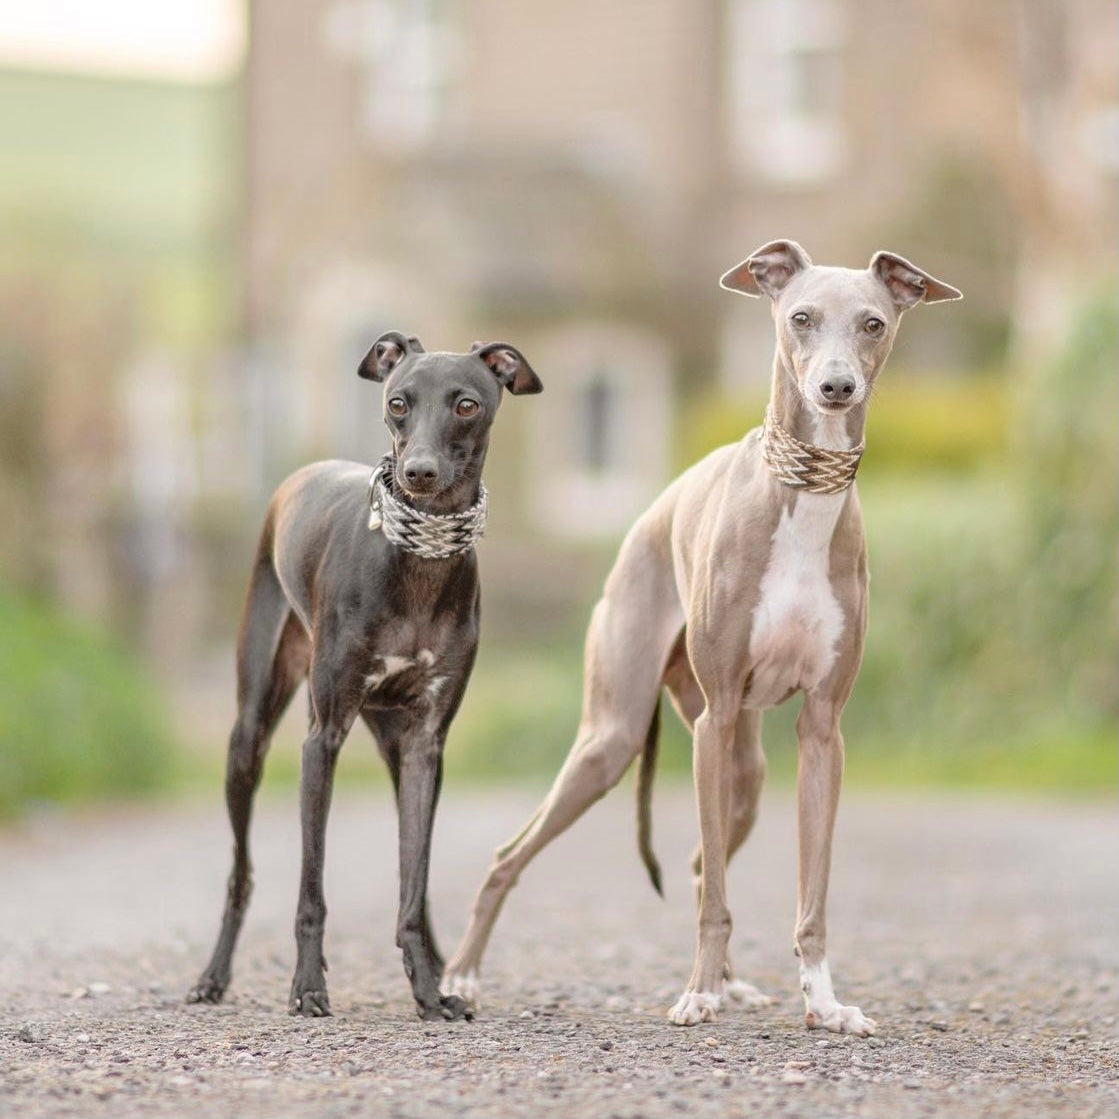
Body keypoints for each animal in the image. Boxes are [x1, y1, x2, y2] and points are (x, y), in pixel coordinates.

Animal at [186, 326, 541, 1020]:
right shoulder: (321, 741)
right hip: (251, 733)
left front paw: (429, 991)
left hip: (391, 744)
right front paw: (308, 988)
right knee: (241, 874)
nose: (418, 473)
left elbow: (412, 883)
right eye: (398, 402)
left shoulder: (427, 744)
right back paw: (213, 977)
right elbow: (311, 890)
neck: (418, 567)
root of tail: (301, 474)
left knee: (416, 882)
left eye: (467, 404)